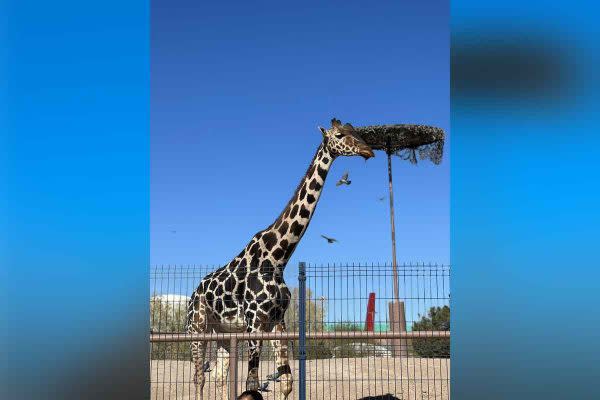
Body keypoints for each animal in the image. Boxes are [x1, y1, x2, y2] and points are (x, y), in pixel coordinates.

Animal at [186, 117, 376, 398]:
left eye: (357, 131)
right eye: (340, 135)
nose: (368, 150)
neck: (277, 258)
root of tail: (193, 293)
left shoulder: (276, 322)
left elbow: (287, 381)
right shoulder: (254, 323)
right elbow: (252, 383)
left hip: (223, 332)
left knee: (219, 377)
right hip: (197, 328)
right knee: (198, 377)